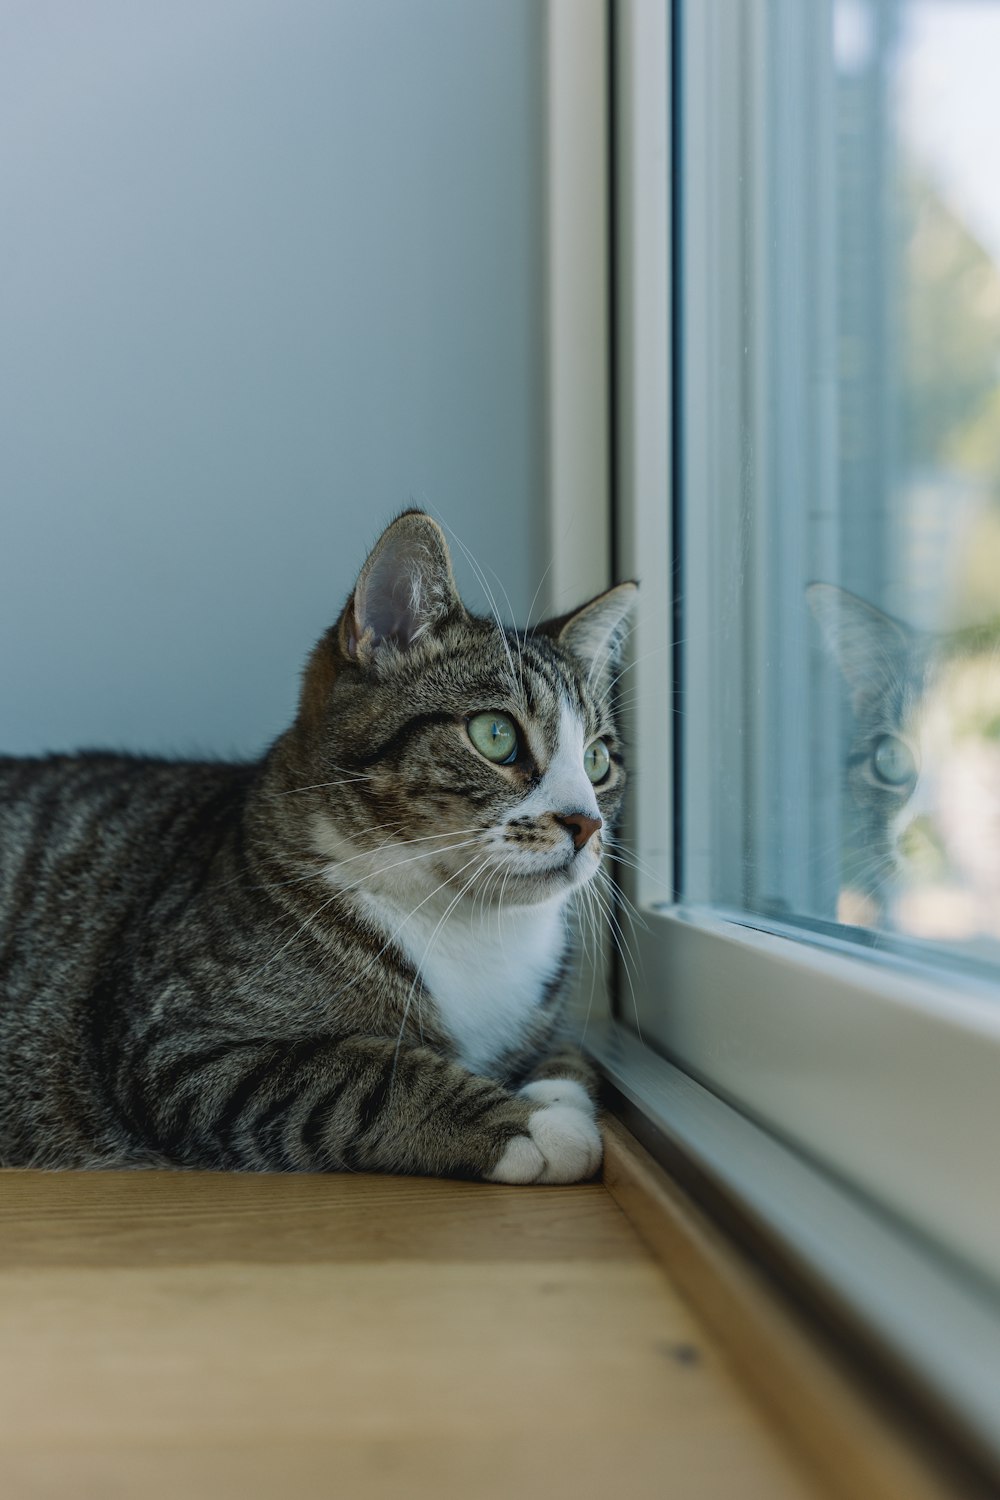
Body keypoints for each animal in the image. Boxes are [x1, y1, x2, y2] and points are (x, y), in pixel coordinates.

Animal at [0, 516, 638, 1182]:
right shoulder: (180, 1047)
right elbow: (373, 1075)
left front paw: (556, 1091)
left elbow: (568, 1052)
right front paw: (533, 1125)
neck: (471, 925)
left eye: (597, 760)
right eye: (495, 735)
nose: (586, 823)